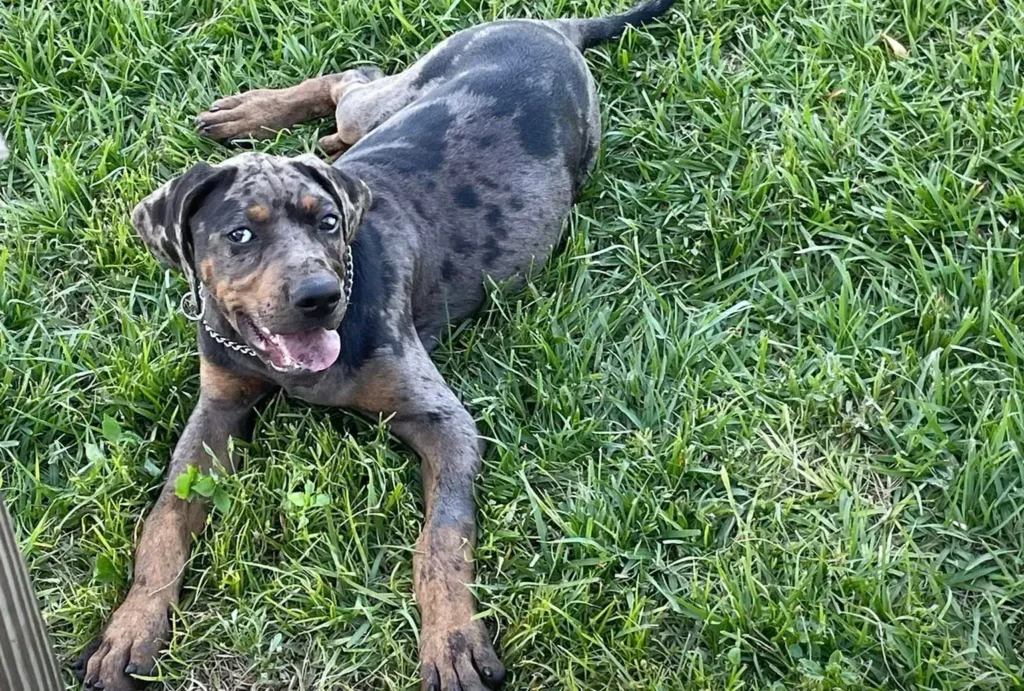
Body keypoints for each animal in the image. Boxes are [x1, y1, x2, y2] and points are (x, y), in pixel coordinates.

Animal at [77, 2, 671, 687]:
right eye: (240, 234)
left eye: (329, 223)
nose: (319, 296)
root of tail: (548, 27)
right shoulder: (217, 407)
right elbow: (165, 521)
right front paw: (132, 626)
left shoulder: (443, 421)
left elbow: (442, 540)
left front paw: (452, 639)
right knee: (351, 84)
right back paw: (265, 122)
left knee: (355, 78)